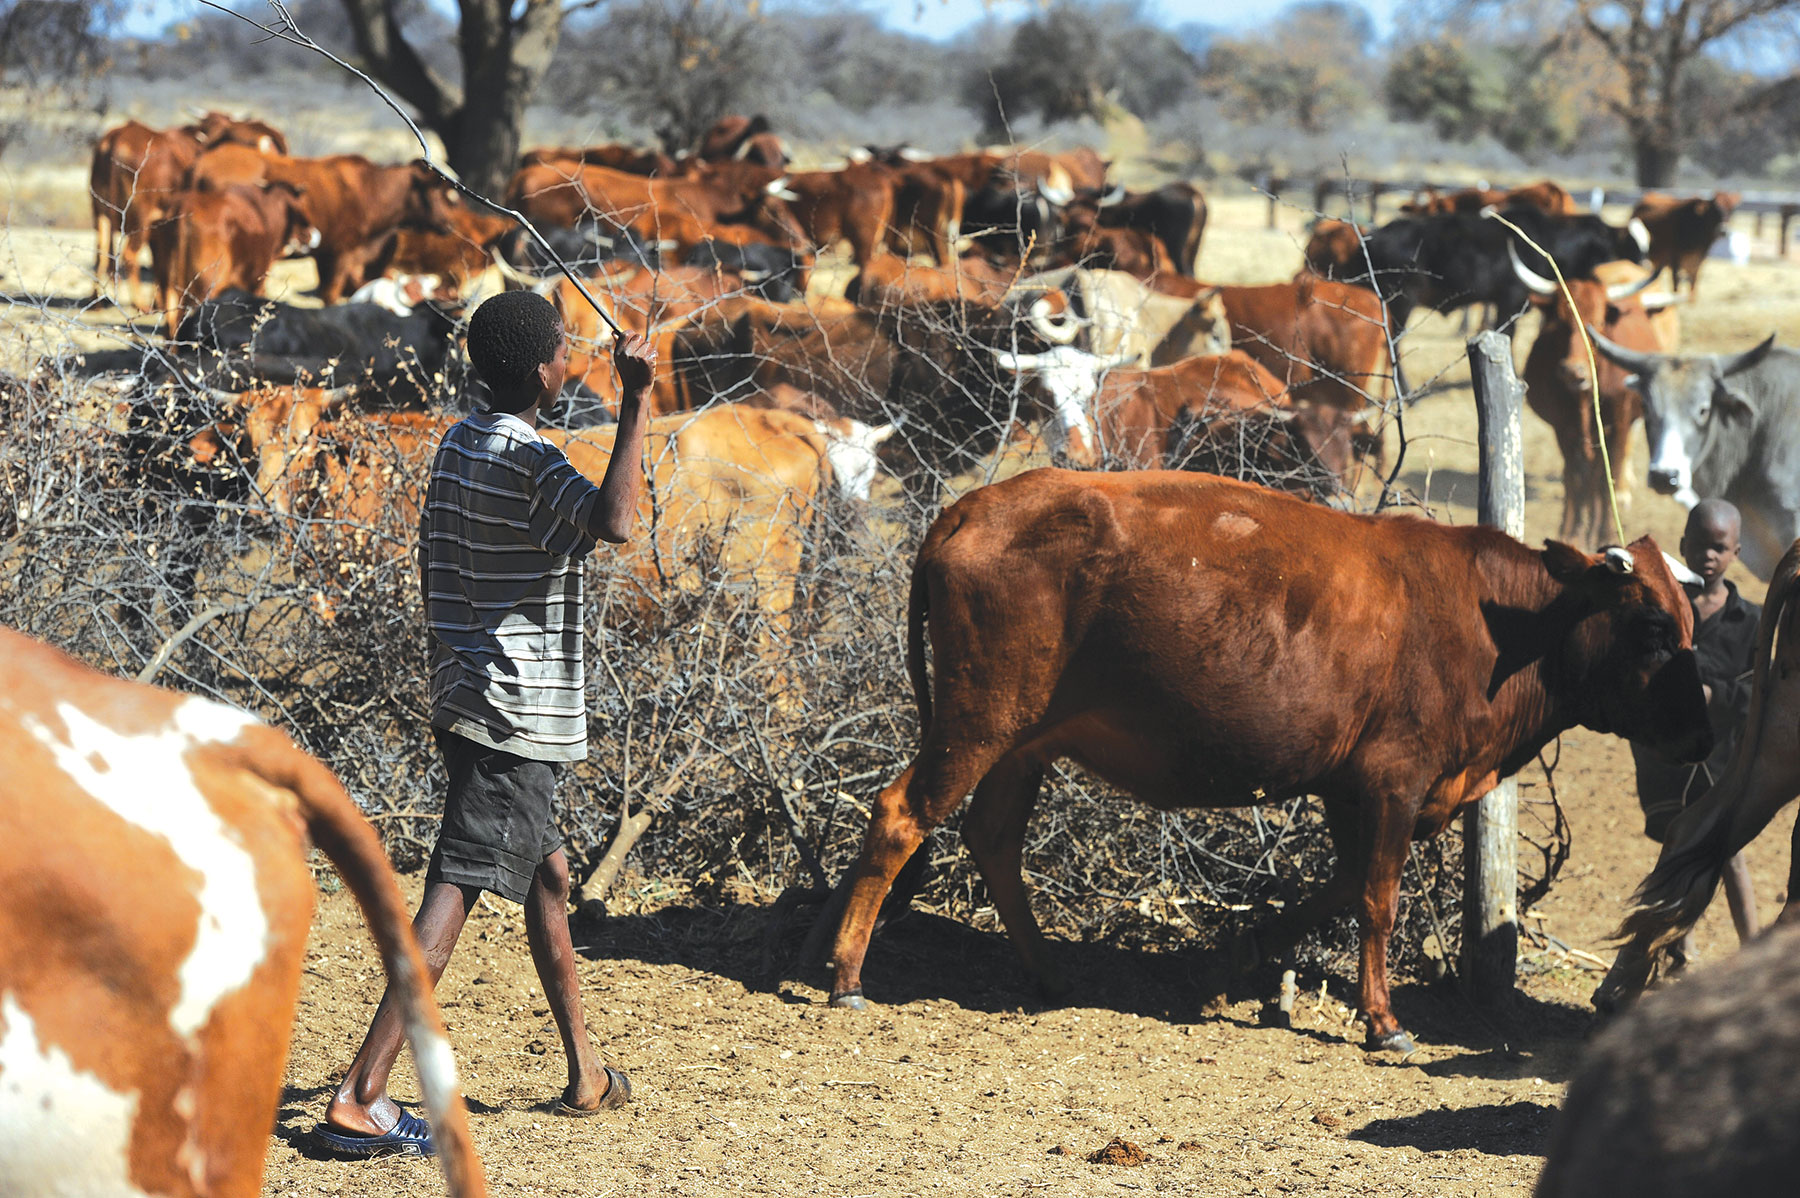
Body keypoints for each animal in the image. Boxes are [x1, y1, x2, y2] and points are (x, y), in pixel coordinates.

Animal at [810, 470, 1712, 1052]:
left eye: (1690, 624)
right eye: (1652, 629)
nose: (1702, 727)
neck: (1498, 622)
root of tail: (971, 507)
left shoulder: (1351, 789)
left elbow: (1342, 886)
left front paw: (1233, 959)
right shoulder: (1393, 780)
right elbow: (1377, 901)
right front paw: (1383, 1022)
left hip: (1023, 742)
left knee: (993, 840)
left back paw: (1046, 974)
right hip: (976, 722)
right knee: (900, 815)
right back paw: (847, 974)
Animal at [1512, 245, 1667, 546]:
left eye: (1596, 323)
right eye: (1560, 323)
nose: (1573, 372)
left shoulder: (1619, 424)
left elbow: (1609, 477)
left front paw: (1604, 533)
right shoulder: (1563, 427)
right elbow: (1574, 476)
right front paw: (1570, 532)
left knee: (1599, 475)